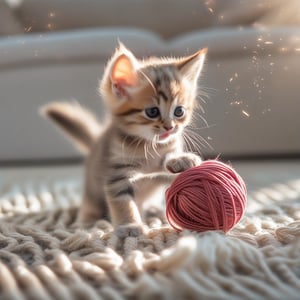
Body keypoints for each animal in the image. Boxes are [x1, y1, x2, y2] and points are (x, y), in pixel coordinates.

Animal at [41, 44, 206, 237]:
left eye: (179, 111)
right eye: (152, 112)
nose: (170, 127)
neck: (148, 145)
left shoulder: (162, 162)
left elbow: (167, 163)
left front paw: (180, 159)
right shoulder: (116, 174)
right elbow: (123, 201)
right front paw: (129, 226)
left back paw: (153, 210)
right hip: (92, 190)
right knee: (89, 205)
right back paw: (87, 222)